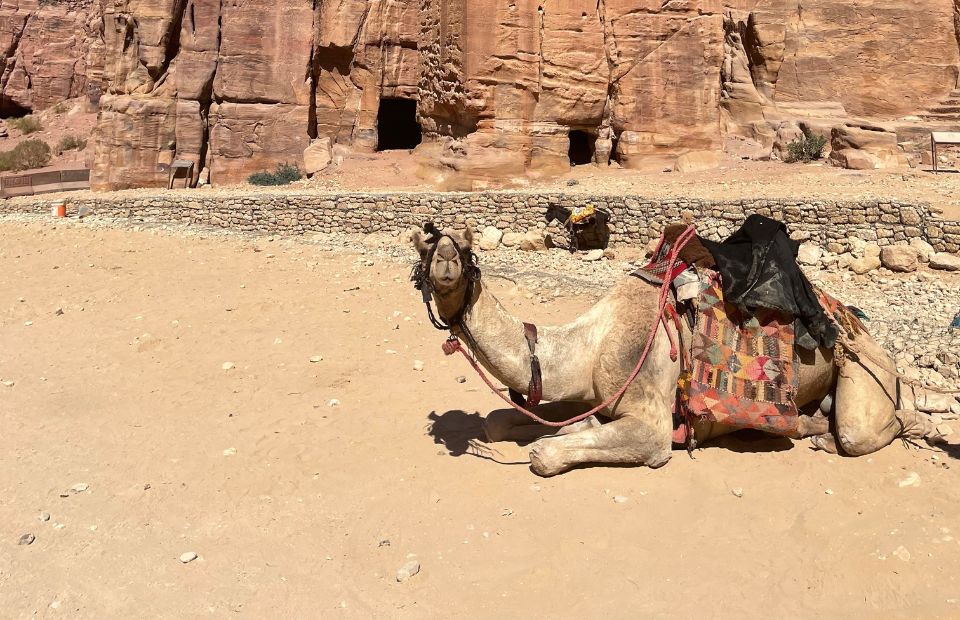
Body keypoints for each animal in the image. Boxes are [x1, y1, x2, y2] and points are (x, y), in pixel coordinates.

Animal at [412, 226, 939, 477]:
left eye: (467, 248)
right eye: (425, 245)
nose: (445, 260)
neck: (590, 343)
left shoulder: (648, 413)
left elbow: (546, 453)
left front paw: (560, 441)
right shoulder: (589, 392)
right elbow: (501, 422)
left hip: (866, 365)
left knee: (862, 429)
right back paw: (812, 428)